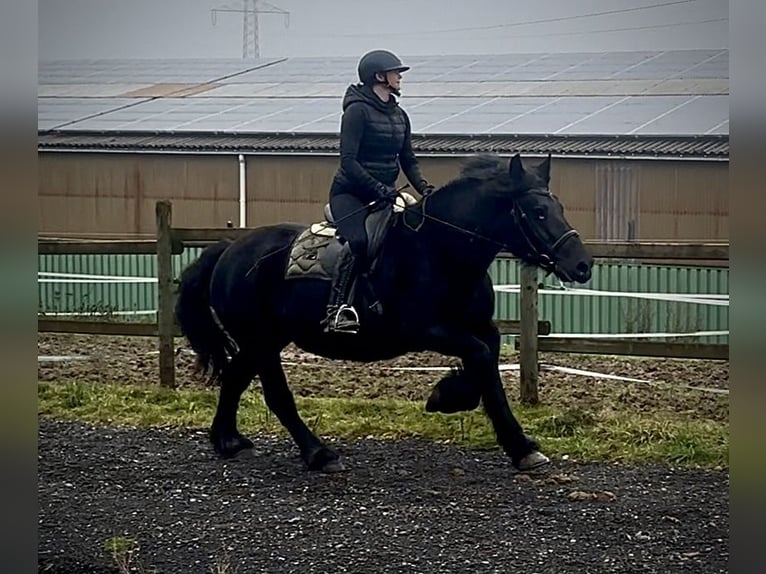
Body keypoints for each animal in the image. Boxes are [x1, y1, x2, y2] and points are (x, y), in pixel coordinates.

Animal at [175, 153, 593, 473]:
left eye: (559, 207)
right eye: (538, 212)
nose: (583, 265)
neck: (440, 249)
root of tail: (229, 250)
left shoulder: (480, 327)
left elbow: (487, 369)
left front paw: (517, 445)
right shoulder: (426, 330)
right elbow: (479, 356)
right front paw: (445, 397)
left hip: (263, 340)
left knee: (234, 377)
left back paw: (228, 440)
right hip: (261, 341)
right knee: (276, 395)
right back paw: (318, 453)